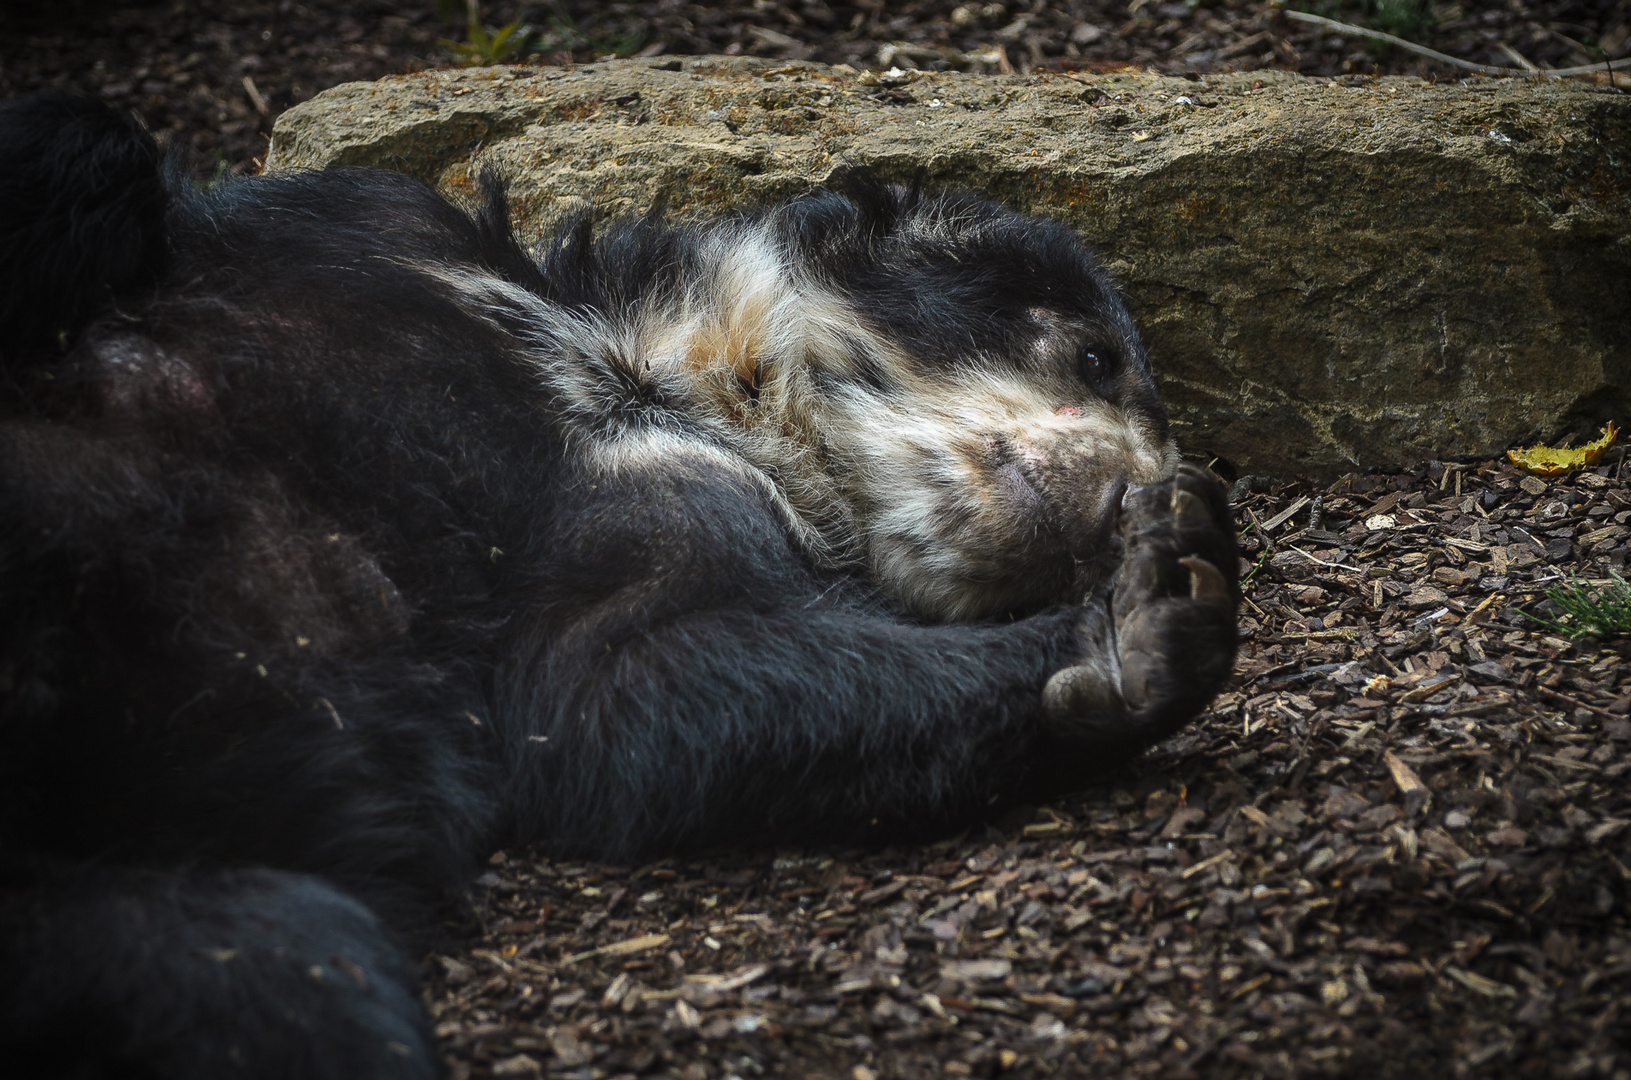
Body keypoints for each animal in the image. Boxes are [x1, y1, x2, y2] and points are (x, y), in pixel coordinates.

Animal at [0, 92, 1226, 1080]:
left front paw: (1143, 620)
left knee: (295, 979)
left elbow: (630, 683)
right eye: (1092, 358)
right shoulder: (347, 227)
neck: (643, 368)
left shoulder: (670, 502)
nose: (1137, 502)